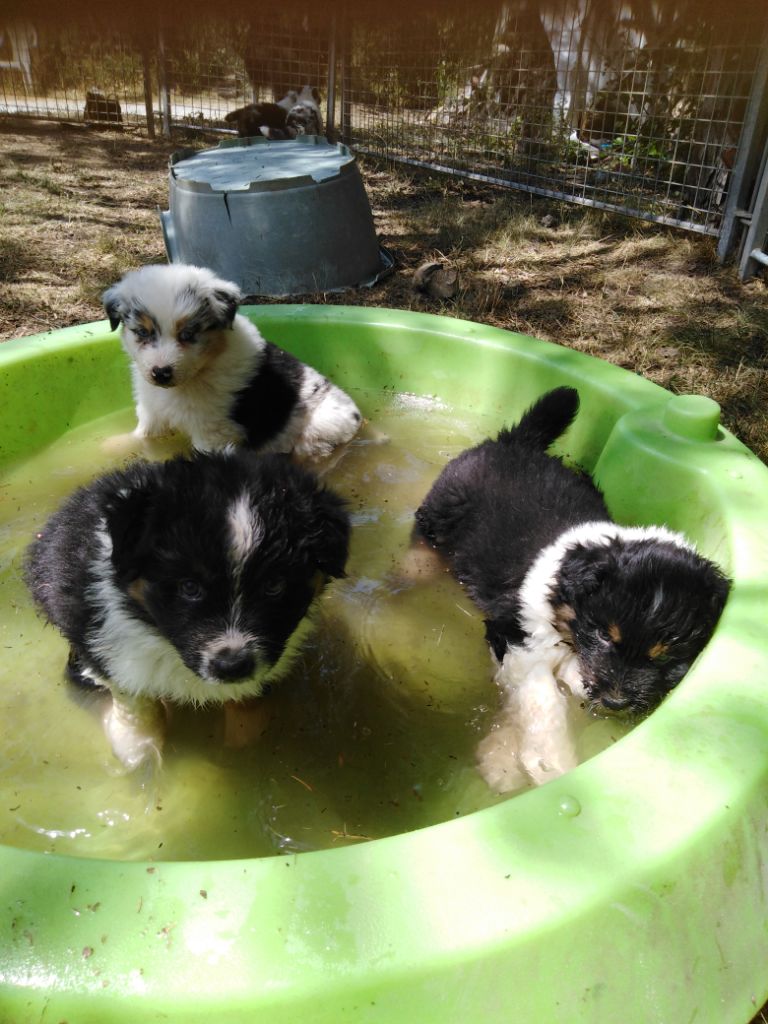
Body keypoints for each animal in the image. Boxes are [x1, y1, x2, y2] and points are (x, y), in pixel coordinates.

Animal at [26, 448, 352, 770]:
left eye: (274, 585)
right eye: (189, 588)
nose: (232, 666)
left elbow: (247, 700)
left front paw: (246, 739)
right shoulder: (98, 634)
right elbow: (133, 698)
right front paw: (137, 748)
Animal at [102, 262, 364, 458]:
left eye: (188, 334)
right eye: (142, 332)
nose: (161, 372)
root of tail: (358, 417)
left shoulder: (212, 432)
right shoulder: (152, 409)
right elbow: (142, 435)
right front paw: (115, 446)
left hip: (316, 431)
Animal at [415, 385, 733, 790]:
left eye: (665, 656)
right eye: (604, 635)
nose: (616, 704)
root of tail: (513, 441)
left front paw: (503, 756)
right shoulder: (512, 634)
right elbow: (541, 695)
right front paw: (549, 763)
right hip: (440, 510)